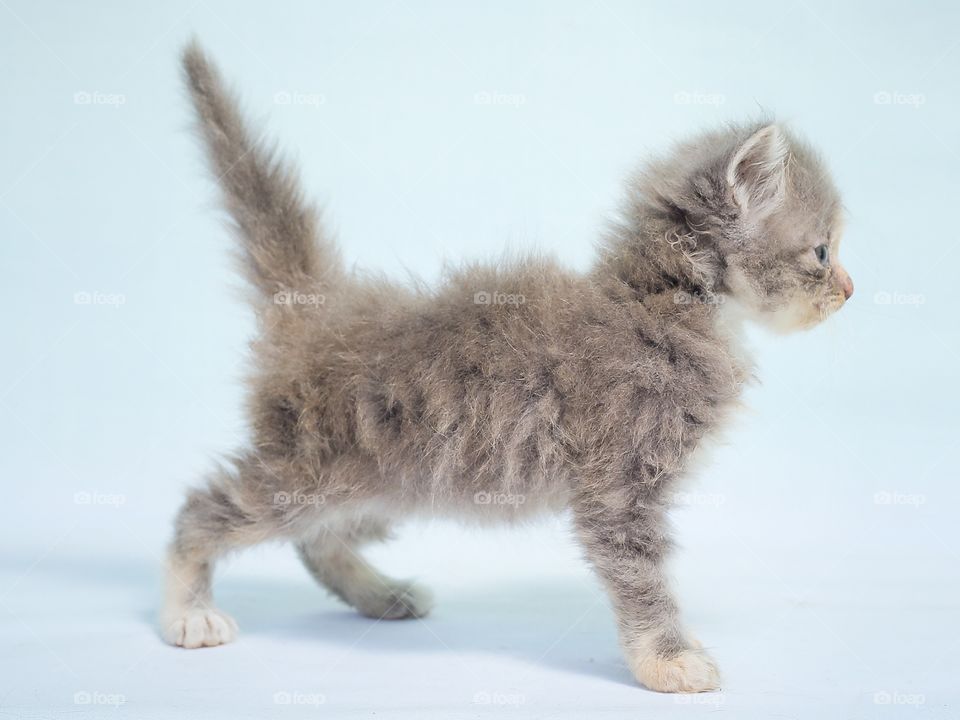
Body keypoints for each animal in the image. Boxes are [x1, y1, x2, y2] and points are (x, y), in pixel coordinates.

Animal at [159, 40, 856, 692]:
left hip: (391, 476)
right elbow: (641, 578)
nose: (850, 290)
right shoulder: (618, 483)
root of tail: (319, 306)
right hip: (313, 466)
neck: (668, 301)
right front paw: (670, 659)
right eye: (822, 252)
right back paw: (188, 610)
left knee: (319, 538)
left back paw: (380, 595)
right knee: (206, 510)